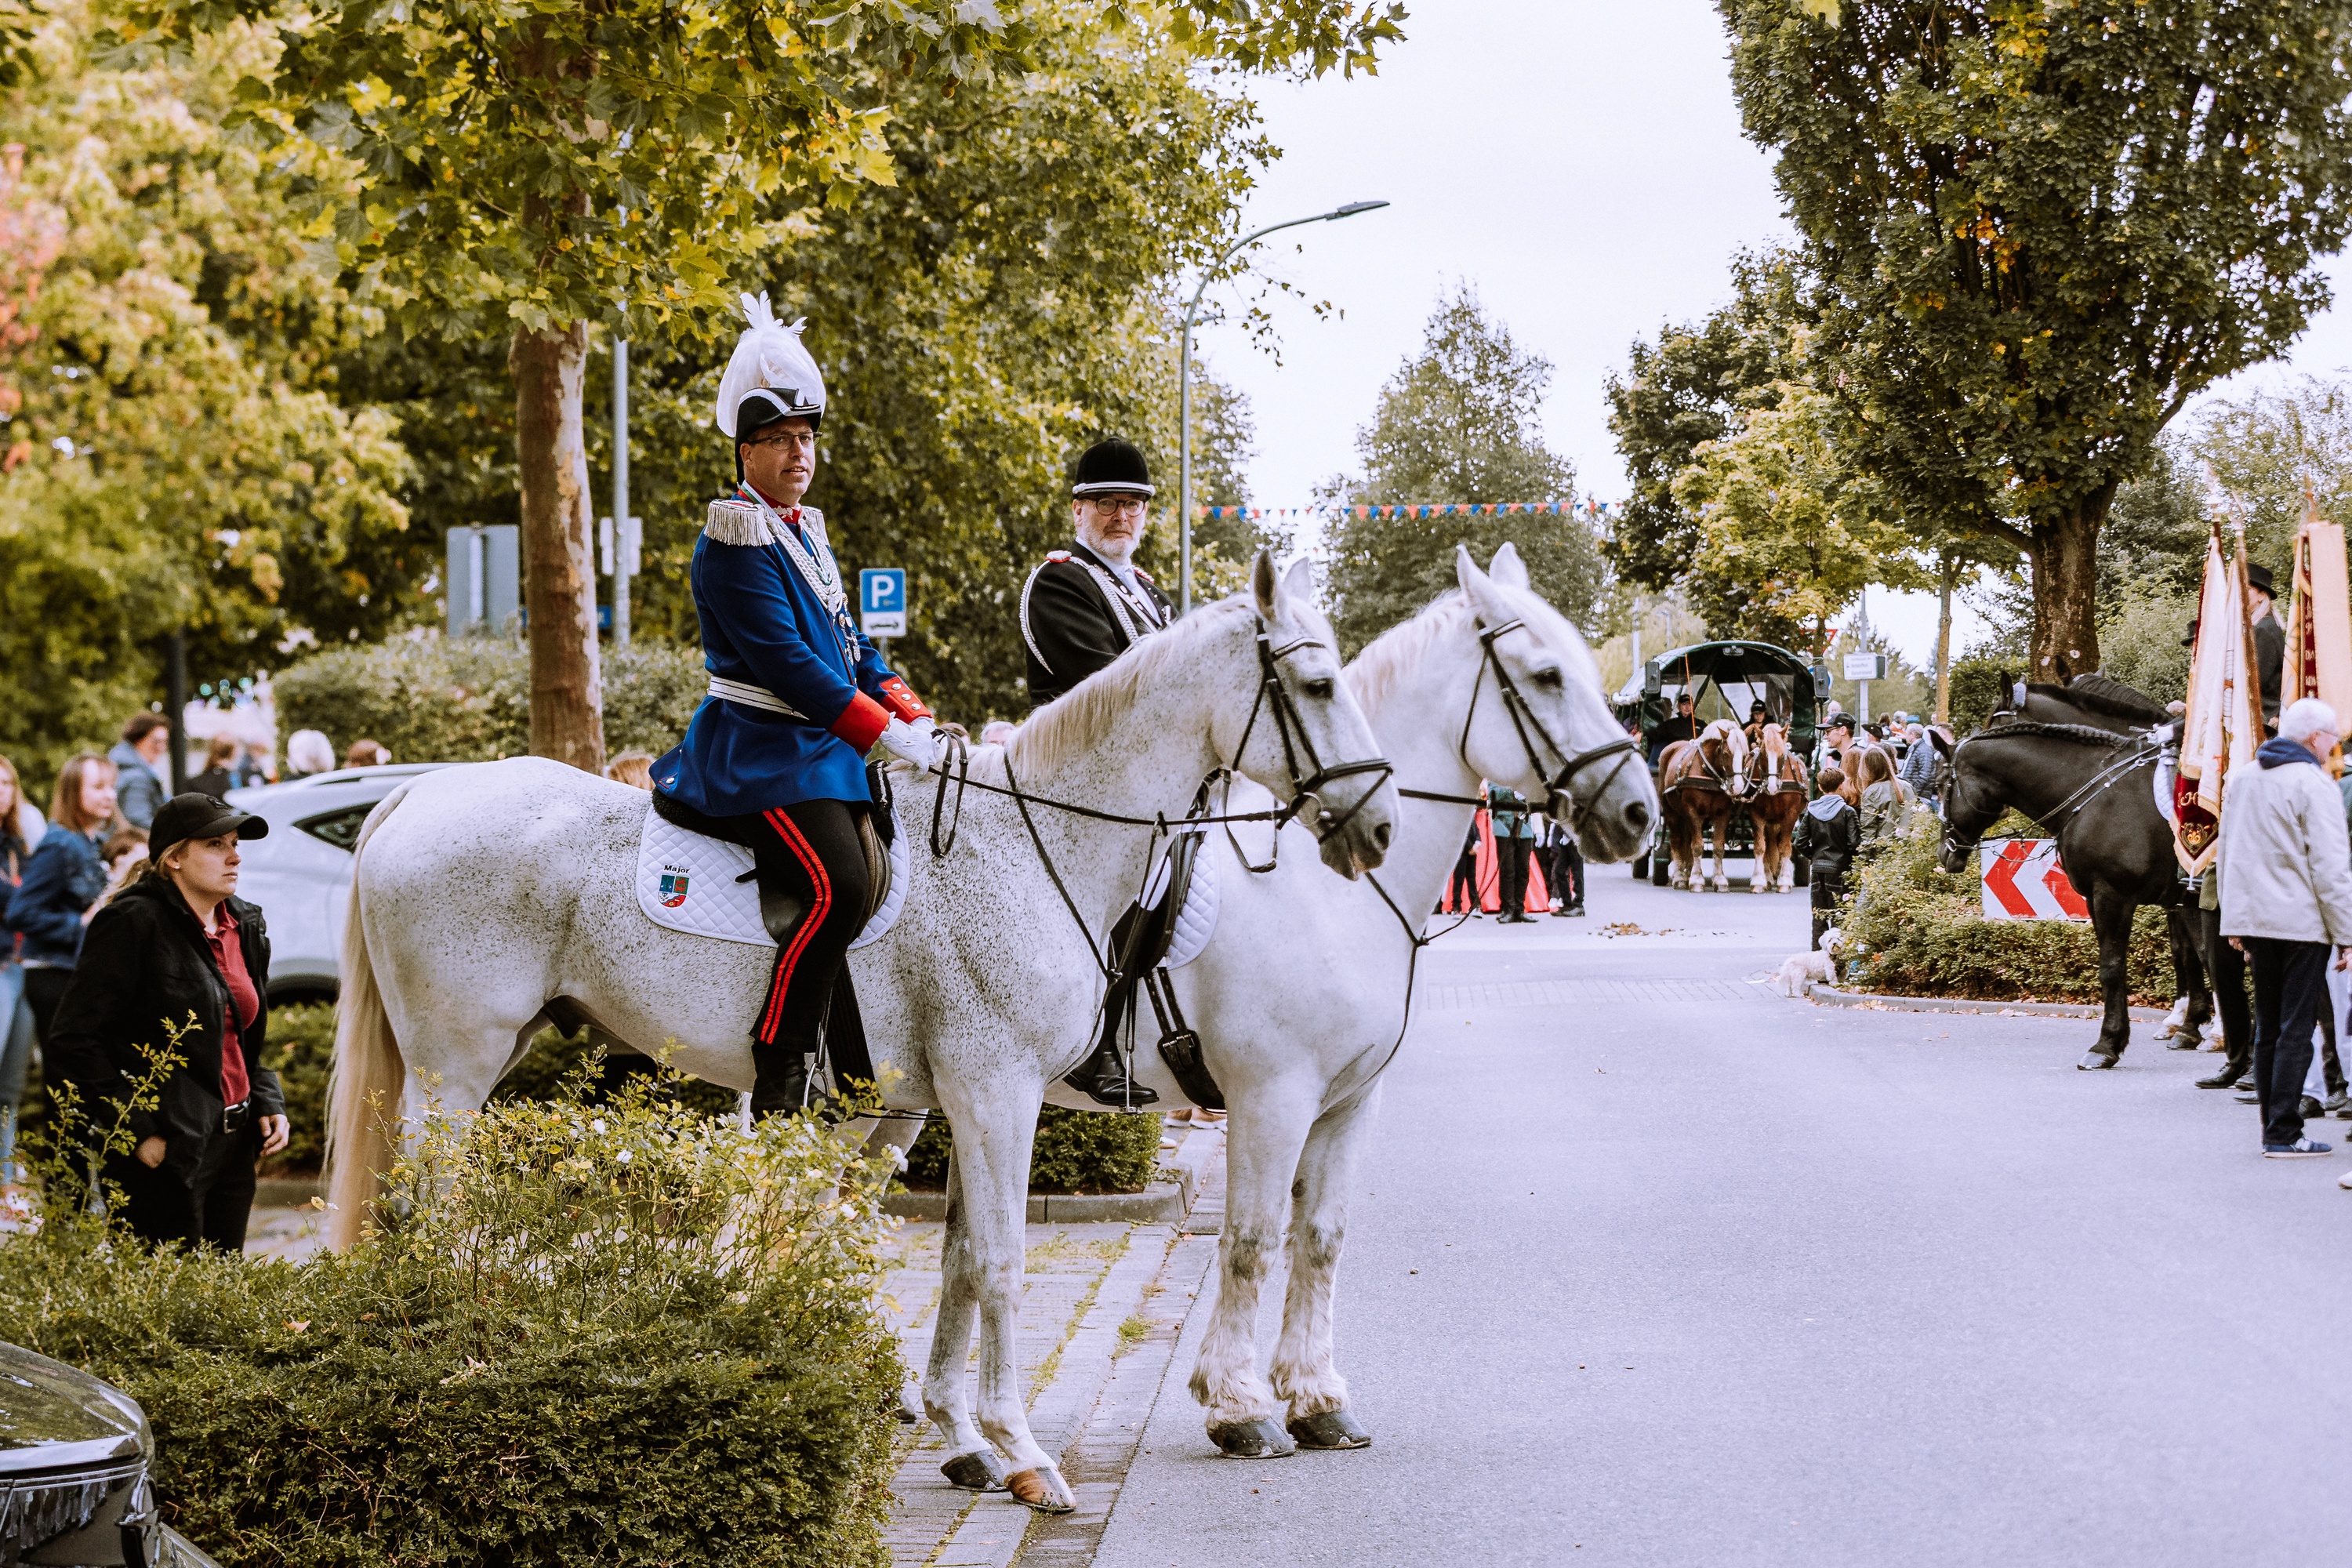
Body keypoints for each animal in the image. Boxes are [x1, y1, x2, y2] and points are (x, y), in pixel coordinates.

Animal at [322, 553, 1399, 1514]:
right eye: (1317, 683)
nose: (1379, 826)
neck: (1039, 841)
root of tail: (421, 789)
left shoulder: (961, 1099)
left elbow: (964, 1256)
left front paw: (978, 1441)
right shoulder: (1000, 1089)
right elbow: (1001, 1261)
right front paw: (1027, 1452)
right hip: (456, 1067)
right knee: (433, 1207)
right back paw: (457, 1356)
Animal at [933, 545, 1656, 1461]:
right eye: (1548, 674)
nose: (1640, 814)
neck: (1330, 891)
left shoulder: (1349, 1100)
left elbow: (1320, 1237)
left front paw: (1316, 1396)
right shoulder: (1270, 1098)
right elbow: (1250, 1241)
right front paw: (1238, 1404)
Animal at [1658, 718, 1750, 891]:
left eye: (1746, 755)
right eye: (1726, 754)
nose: (1738, 787)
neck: (1707, 772)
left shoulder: (1722, 814)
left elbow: (1718, 847)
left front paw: (1719, 880)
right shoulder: (1693, 812)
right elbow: (1697, 845)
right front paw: (1696, 880)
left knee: (1686, 842)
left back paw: (1687, 872)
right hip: (1671, 813)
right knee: (1676, 841)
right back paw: (1680, 877)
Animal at [1743, 722, 1809, 893]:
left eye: (1781, 756)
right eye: (1763, 755)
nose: (1772, 787)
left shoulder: (1790, 815)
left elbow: (1785, 847)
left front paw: (1784, 881)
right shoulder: (1756, 814)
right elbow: (1761, 847)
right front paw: (1758, 881)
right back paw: (1768, 876)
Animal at [1932, 719, 2180, 1068]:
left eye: (1941, 784)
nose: (1945, 852)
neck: (2101, 797)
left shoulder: (2112, 896)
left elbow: (2112, 968)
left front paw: (2106, 1045)